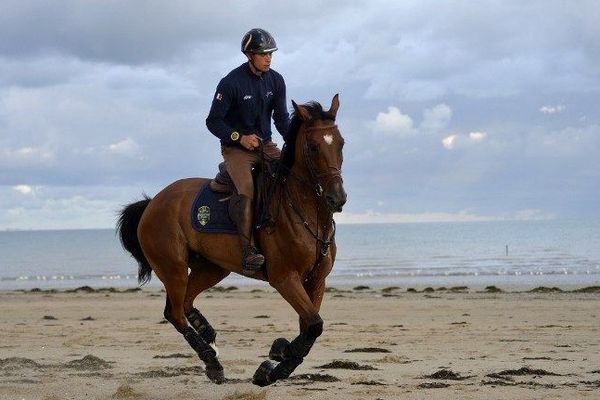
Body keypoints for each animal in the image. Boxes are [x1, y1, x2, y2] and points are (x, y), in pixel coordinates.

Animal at [117, 95, 346, 386]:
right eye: (314, 147)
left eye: (341, 143)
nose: (337, 198)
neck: (306, 214)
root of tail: (152, 203)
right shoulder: (285, 278)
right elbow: (314, 326)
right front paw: (273, 367)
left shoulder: (316, 281)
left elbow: (309, 328)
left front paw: (278, 354)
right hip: (173, 268)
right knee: (174, 312)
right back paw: (211, 360)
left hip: (212, 268)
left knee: (185, 303)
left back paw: (208, 335)